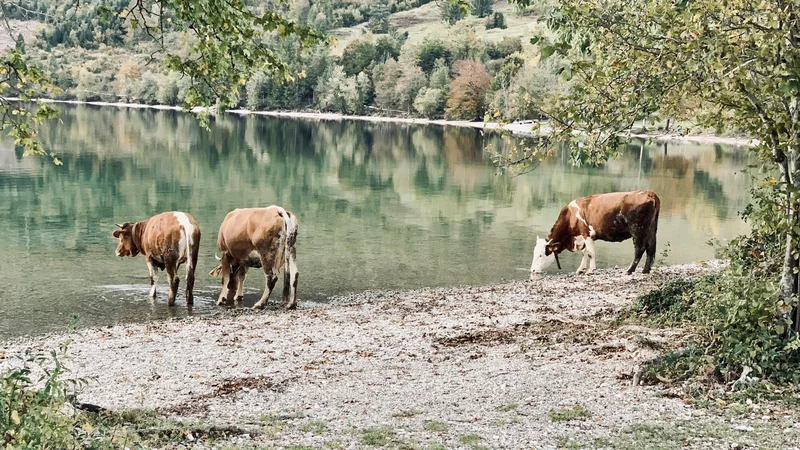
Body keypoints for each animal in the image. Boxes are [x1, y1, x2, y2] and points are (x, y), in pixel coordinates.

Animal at [532, 189, 664, 276]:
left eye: (541, 255)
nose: (532, 270)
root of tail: (648, 193)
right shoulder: (584, 237)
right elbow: (585, 252)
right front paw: (581, 269)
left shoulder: (587, 233)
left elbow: (590, 253)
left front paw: (591, 270)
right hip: (651, 229)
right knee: (651, 247)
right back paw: (646, 270)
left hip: (637, 229)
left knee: (640, 249)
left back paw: (629, 270)